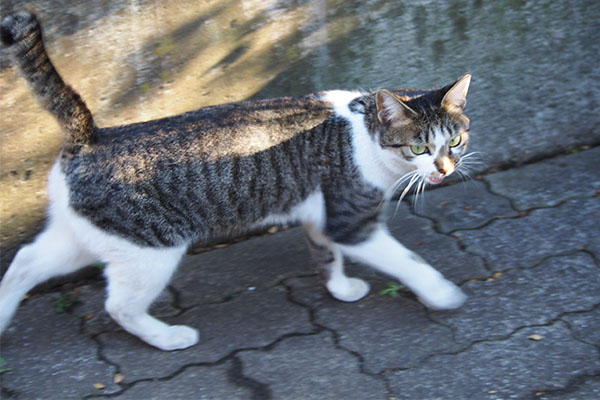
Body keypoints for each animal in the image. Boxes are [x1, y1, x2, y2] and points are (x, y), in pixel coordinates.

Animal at [1, 11, 474, 350]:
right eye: (419, 148)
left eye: (455, 141)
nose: (444, 170)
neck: (365, 131)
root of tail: (91, 137)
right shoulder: (350, 220)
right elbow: (407, 261)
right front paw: (442, 294)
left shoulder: (321, 214)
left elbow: (326, 254)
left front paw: (339, 288)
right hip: (148, 247)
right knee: (118, 305)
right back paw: (170, 338)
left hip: (88, 235)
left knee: (25, 260)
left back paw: (4, 315)